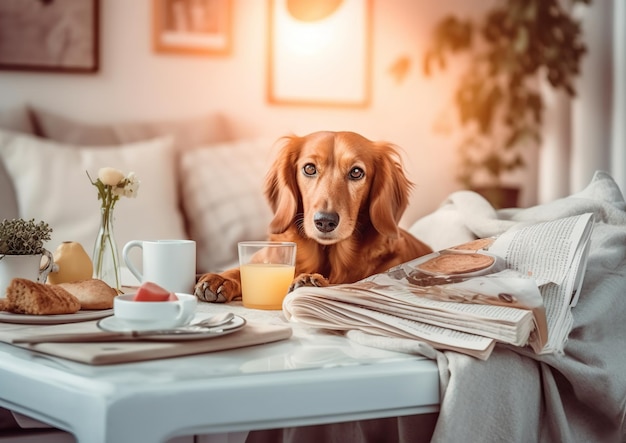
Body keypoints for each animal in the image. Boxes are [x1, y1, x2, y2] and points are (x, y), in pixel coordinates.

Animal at [194, 130, 428, 304]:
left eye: (356, 172)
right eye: (309, 168)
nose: (325, 221)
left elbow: (349, 285)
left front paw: (311, 280)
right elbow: (242, 269)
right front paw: (221, 278)